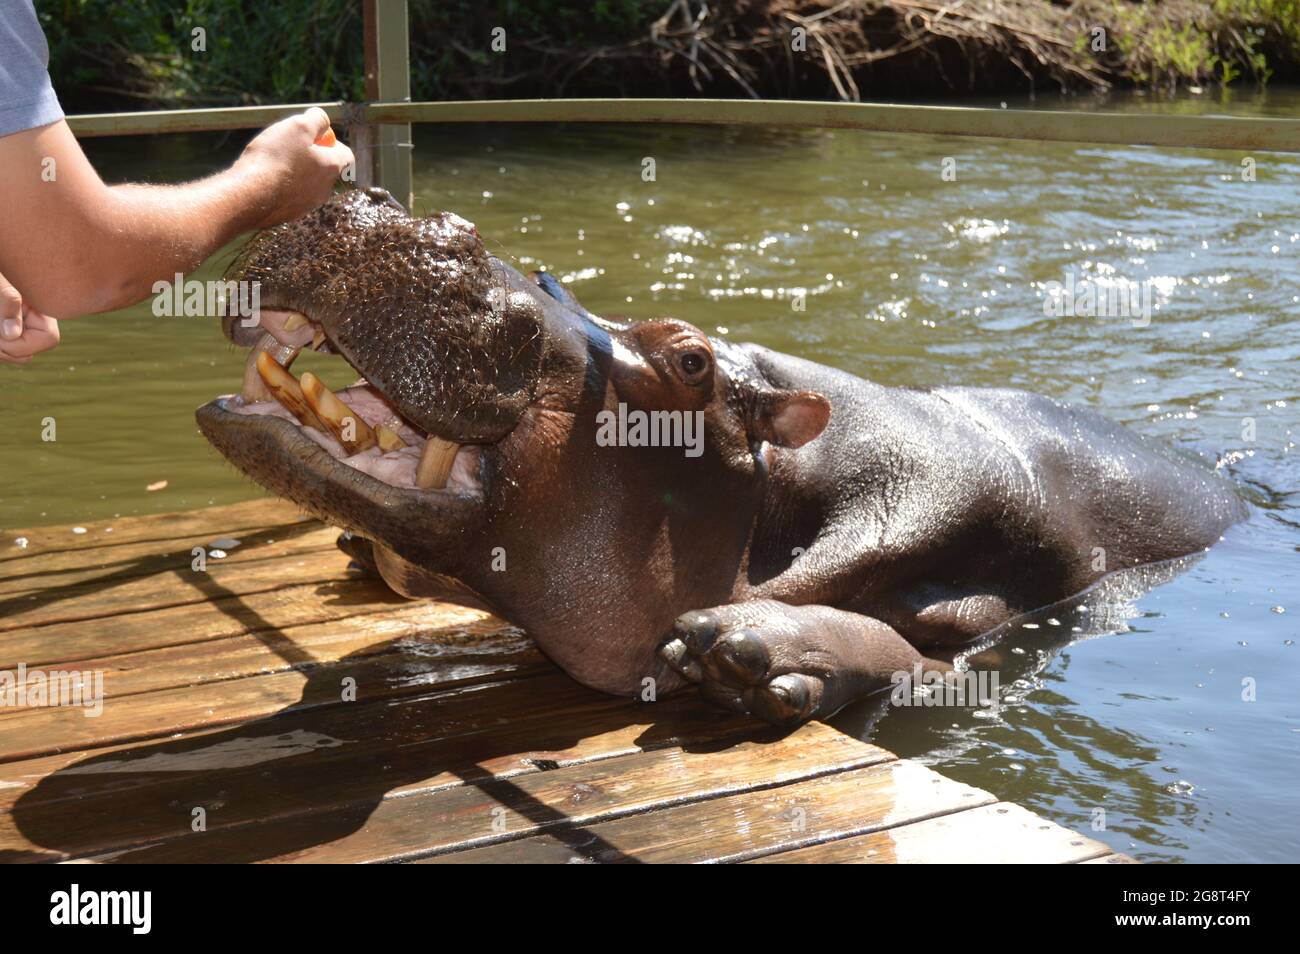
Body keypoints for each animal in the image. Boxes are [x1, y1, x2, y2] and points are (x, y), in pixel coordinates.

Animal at [196, 187, 1247, 727]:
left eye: (690, 360)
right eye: (545, 275)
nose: (382, 203)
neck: (782, 486)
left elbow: (924, 656)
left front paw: (753, 657)